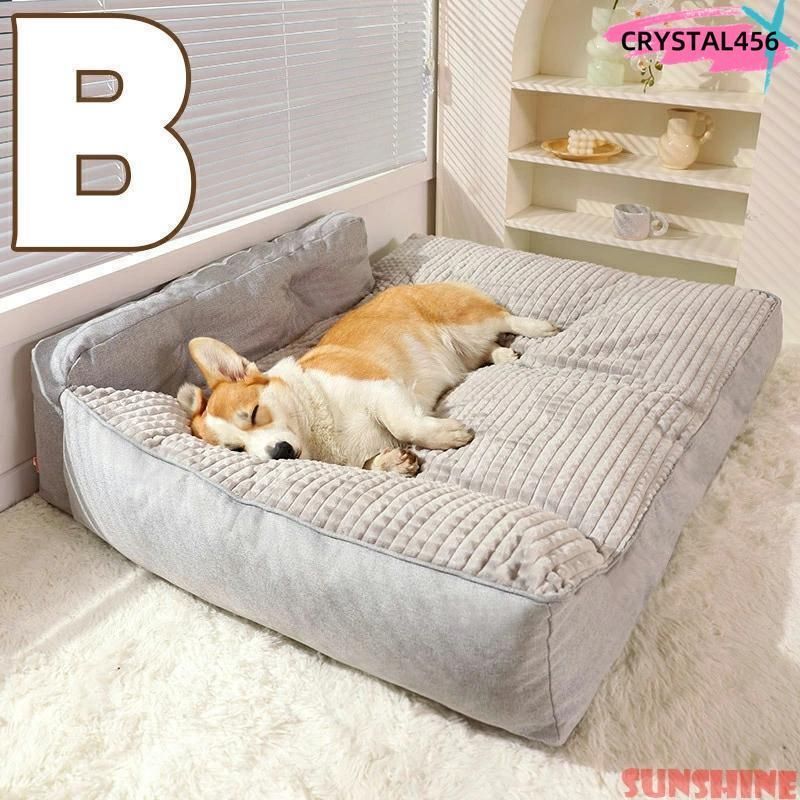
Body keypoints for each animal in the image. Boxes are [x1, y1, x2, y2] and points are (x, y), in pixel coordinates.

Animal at [178, 282, 558, 476]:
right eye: (236, 449)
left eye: (255, 413)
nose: (280, 453)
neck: (317, 432)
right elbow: (373, 464)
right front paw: (395, 462)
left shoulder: (381, 389)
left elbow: (406, 425)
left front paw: (447, 435)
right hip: (467, 347)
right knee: (485, 350)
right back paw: (503, 355)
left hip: (468, 321)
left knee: (504, 318)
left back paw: (540, 327)